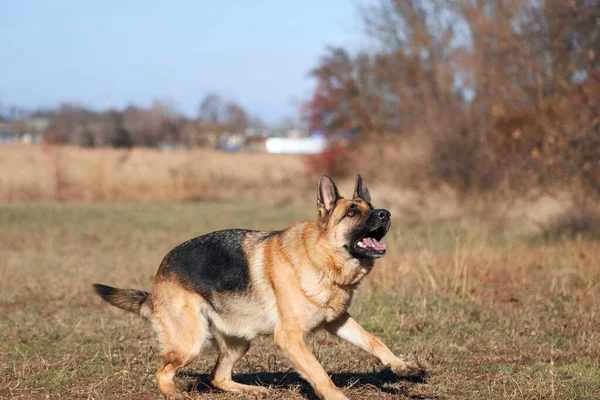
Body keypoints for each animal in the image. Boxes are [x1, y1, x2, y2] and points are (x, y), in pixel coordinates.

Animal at [92, 175, 422, 400]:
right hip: (191, 342)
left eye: (371, 207)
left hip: (240, 341)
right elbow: (319, 373)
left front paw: (401, 366)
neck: (319, 257)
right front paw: (338, 397)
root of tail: (157, 280)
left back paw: (252, 390)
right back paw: (175, 394)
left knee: (218, 377)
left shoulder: (337, 320)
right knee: (162, 374)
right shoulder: (290, 339)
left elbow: (374, 341)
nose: (385, 213)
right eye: (352, 213)